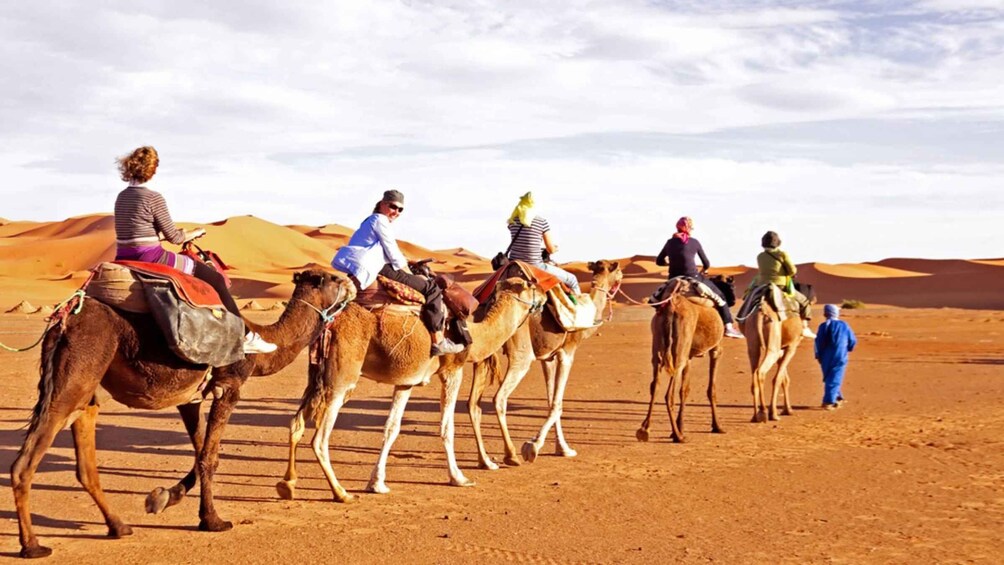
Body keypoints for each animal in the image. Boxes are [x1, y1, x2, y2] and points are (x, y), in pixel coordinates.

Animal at [7, 270, 351, 557]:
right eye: (334, 278)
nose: (352, 283)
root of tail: (63, 319)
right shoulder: (229, 387)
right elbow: (210, 456)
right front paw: (213, 520)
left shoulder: (191, 398)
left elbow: (200, 453)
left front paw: (163, 497)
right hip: (76, 372)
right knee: (28, 459)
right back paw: (33, 546)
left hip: (86, 386)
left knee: (85, 455)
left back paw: (118, 526)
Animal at [275, 276, 542, 501]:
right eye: (531, 285)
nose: (543, 297)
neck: (475, 333)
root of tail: (330, 323)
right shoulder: (452, 369)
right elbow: (447, 427)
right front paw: (459, 477)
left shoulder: (406, 381)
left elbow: (391, 428)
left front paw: (377, 483)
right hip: (341, 379)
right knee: (320, 438)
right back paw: (341, 492)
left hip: (316, 376)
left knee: (296, 423)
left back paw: (288, 484)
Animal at [467, 260, 618, 469]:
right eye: (617, 270)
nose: (620, 278)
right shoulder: (567, 352)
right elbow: (557, 403)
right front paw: (533, 446)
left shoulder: (548, 358)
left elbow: (550, 400)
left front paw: (562, 448)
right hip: (521, 352)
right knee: (499, 398)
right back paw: (511, 455)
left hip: (484, 349)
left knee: (473, 404)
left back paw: (486, 461)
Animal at [638, 276, 726, 443]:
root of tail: (671, 305)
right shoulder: (716, 349)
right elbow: (711, 389)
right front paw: (717, 426)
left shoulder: (689, 356)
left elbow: (684, 389)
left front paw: (681, 426)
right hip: (679, 350)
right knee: (669, 394)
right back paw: (678, 436)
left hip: (660, 345)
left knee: (655, 385)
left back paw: (645, 429)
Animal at [742, 287, 803, 425]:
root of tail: (761, 312)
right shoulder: (791, 346)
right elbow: (778, 379)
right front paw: (774, 413)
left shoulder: (781, 349)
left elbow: (784, 379)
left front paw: (788, 410)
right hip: (772, 345)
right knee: (760, 372)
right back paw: (764, 413)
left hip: (753, 342)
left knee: (754, 374)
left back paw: (755, 416)